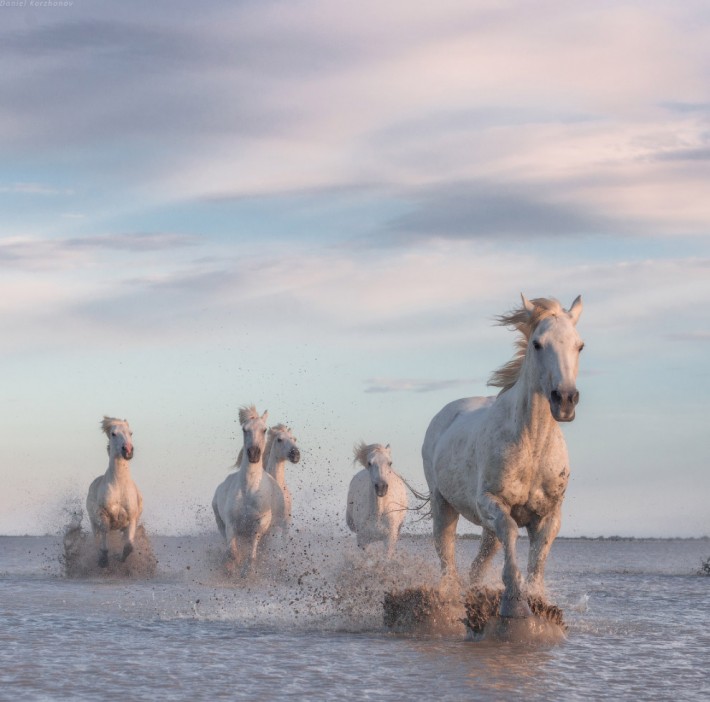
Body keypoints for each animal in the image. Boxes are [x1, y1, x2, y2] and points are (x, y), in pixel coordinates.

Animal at [85, 416, 143, 568]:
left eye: (131, 433)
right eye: (113, 434)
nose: (128, 450)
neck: (119, 486)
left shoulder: (131, 518)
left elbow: (129, 546)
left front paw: (119, 558)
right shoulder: (103, 515)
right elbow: (104, 540)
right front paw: (103, 560)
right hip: (93, 523)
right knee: (97, 537)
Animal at [211, 408, 286, 576]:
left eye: (264, 430)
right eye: (245, 429)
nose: (253, 454)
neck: (249, 491)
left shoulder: (260, 524)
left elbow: (252, 555)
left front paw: (247, 572)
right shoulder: (231, 524)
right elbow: (232, 552)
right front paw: (232, 567)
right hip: (221, 525)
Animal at [422, 296, 584, 620]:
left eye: (579, 345)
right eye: (537, 343)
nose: (565, 400)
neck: (533, 447)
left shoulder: (549, 515)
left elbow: (538, 557)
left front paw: (536, 600)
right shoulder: (492, 502)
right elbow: (510, 532)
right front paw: (514, 603)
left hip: (486, 529)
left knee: (476, 567)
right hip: (443, 506)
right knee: (447, 557)